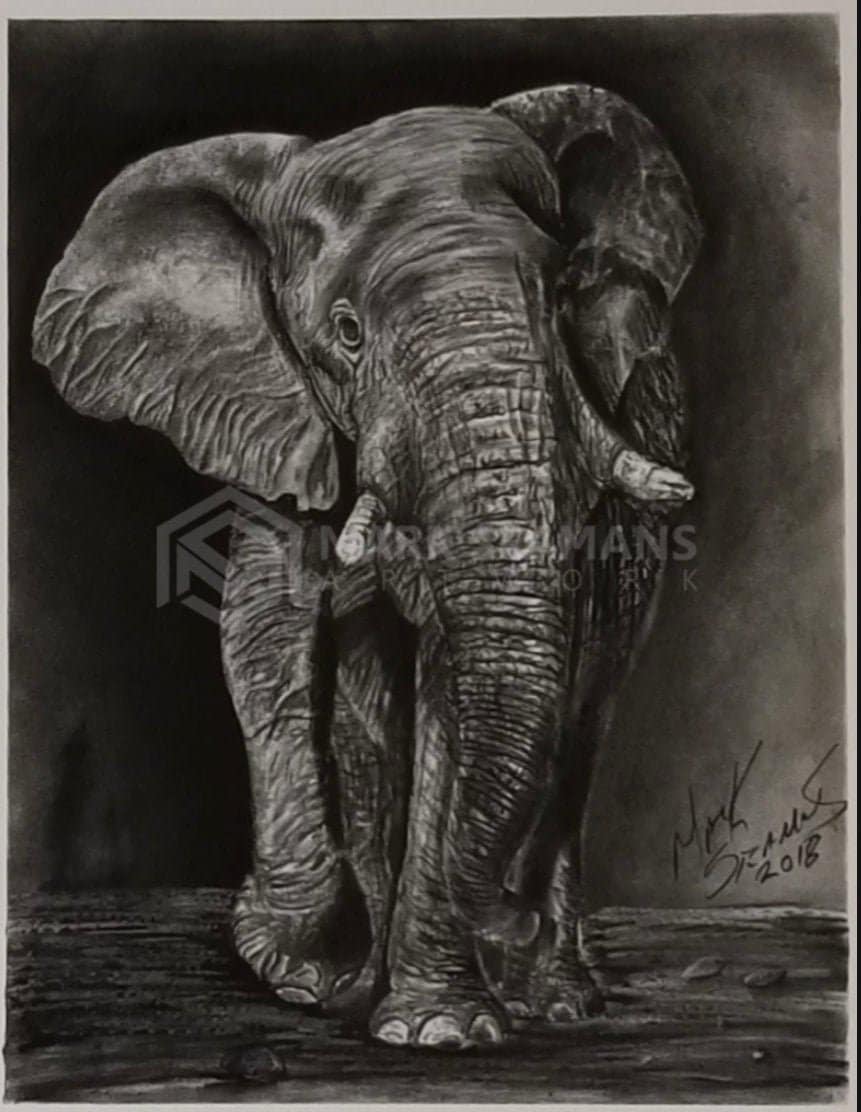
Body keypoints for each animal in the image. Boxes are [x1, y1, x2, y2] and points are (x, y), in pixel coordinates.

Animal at [32, 83, 702, 1049]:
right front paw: (303, 966)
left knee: (584, 713)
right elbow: (263, 635)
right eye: (345, 334)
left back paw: (550, 997)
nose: (507, 912)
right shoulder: (272, 413)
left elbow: (452, 684)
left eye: (561, 301)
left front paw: (437, 1029)